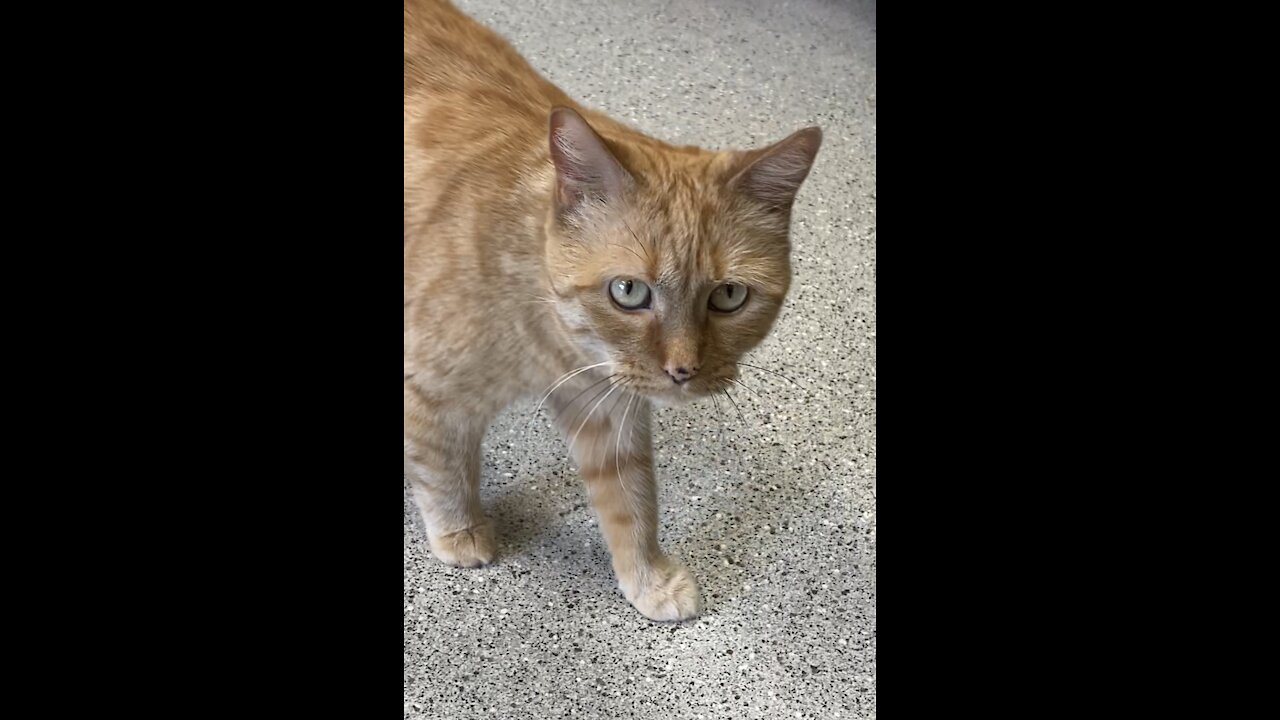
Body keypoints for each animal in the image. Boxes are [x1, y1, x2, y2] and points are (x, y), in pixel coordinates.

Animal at [399, 0, 819, 617]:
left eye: (728, 296)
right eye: (628, 292)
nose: (683, 371)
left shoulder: (608, 404)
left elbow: (632, 500)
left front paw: (649, 580)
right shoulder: (427, 392)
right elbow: (443, 469)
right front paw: (460, 532)